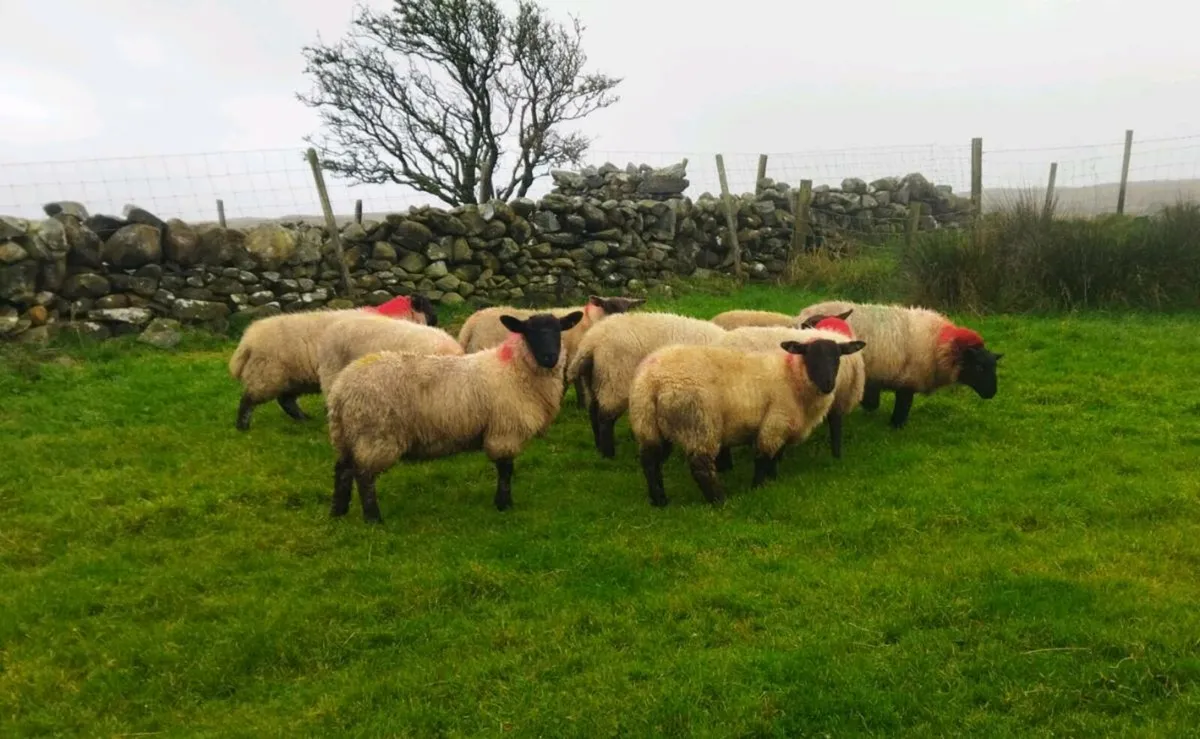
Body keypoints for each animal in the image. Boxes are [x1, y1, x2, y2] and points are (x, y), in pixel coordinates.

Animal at [228, 296, 435, 431]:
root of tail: (247, 341)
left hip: (292, 377)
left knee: (286, 401)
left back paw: (304, 419)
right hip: (267, 373)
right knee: (249, 399)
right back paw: (242, 426)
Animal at [456, 295, 645, 408]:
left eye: (627, 308)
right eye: (608, 306)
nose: (620, 321)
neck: (592, 321)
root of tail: (471, 323)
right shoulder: (574, 356)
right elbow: (576, 384)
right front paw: (580, 405)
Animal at [565, 311, 728, 459]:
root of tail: (591, 341)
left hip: (594, 380)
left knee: (593, 411)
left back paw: (599, 446)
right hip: (615, 379)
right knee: (605, 418)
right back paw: (608, 454)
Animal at [629, 336, 865, 506]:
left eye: (837, 357)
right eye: (810, 356)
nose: (828, 384)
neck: (793, 378)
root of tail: (652, 379)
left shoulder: (779, 427)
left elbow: (774, 457)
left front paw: (773, 480)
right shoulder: (775, 421)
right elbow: (763, 457)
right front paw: (757, 488)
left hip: (649, 424)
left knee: (650, 461)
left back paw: (659, 500)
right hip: (699, 423)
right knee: (700, 466)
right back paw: (720, 500)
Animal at [796, 300, 1002, 428]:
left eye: (993, 367)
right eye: (979, 367)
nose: (992, 393)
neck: (940, 345)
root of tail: (801, 315)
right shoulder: (907, 381)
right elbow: (901, 407)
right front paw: (895, 426)